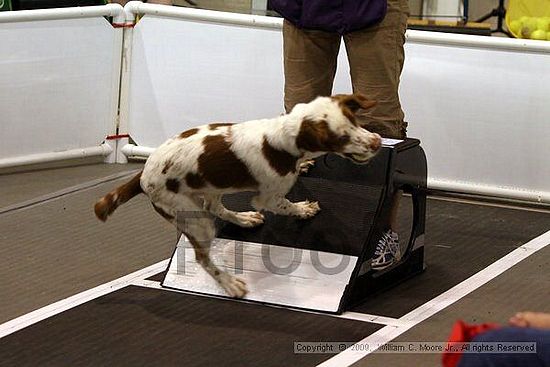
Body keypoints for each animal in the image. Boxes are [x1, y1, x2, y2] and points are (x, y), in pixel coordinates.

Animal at [95, 94, 382, 300]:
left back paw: (244, 219)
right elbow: (287, 205)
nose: (377, 142)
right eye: (341, 138)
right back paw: (230, 284)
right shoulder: (269, 198)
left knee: (215, 207)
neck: (281, 139)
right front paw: (304, 210)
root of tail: (143, 175)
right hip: (193, 219)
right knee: (202, 257)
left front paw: (304, 165)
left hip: (212, 188)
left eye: (354, 121)